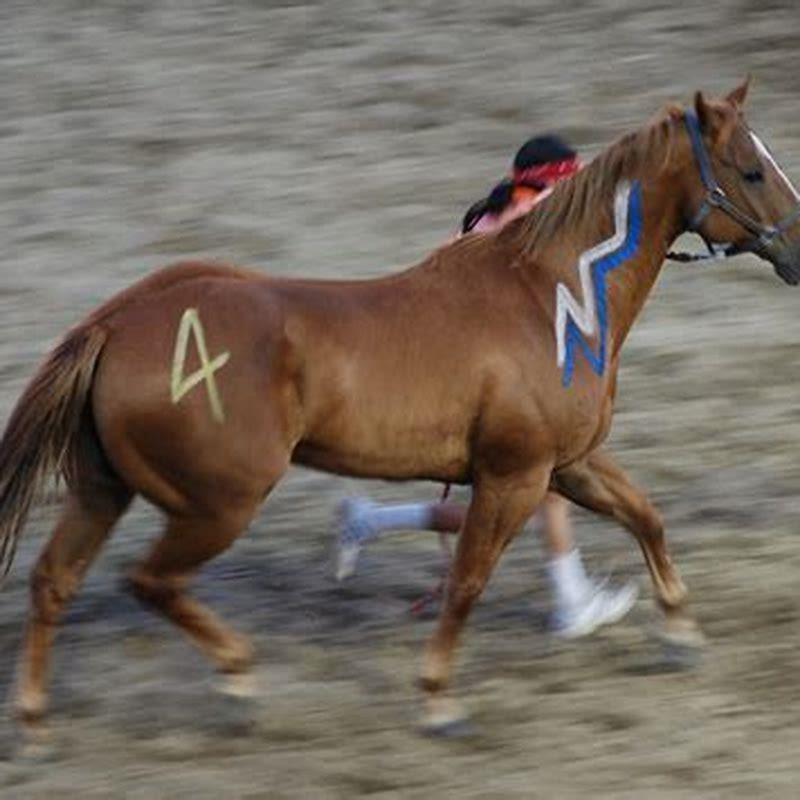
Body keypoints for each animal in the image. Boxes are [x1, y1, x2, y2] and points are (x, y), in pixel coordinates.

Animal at [3, 79, 799, 736]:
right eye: (752, 170)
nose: (798, 248)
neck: (553, 294)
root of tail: (116, 322)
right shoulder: (514, 475)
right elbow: (468, 580)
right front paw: (439, 698)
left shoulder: (566, 462)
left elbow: (646, 516)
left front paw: (682, 632)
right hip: (219, 504)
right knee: (148, 582)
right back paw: (238, 680)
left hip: (103, 489)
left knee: (53, 581)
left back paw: (36, 716)